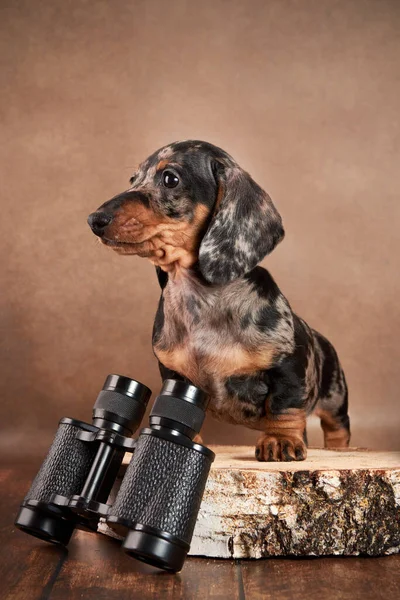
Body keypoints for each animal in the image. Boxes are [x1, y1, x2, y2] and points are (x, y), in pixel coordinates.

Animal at [88, 141, 350, 460]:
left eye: (170, 179)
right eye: (133, 179)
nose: (94, 220)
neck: (200, 300)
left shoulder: (288, 367)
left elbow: (284, 407)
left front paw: (280, 440)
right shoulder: (174, 374)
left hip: (335, 397)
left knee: (337, 426)